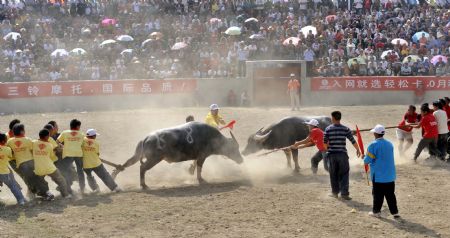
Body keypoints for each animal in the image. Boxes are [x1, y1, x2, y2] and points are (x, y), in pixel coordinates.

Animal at [114, 122, 244, 189]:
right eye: (234, 148)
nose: (241, 160)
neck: (211, 137)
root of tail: (147, 138)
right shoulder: (202, 156)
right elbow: (199, 167)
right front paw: (201, 180)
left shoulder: (199, 157)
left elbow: (196, 166)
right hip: (154, 159)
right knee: (142, 168)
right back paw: (144, 185)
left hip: (137, 155)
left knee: (128, 163)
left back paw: (115, 173)